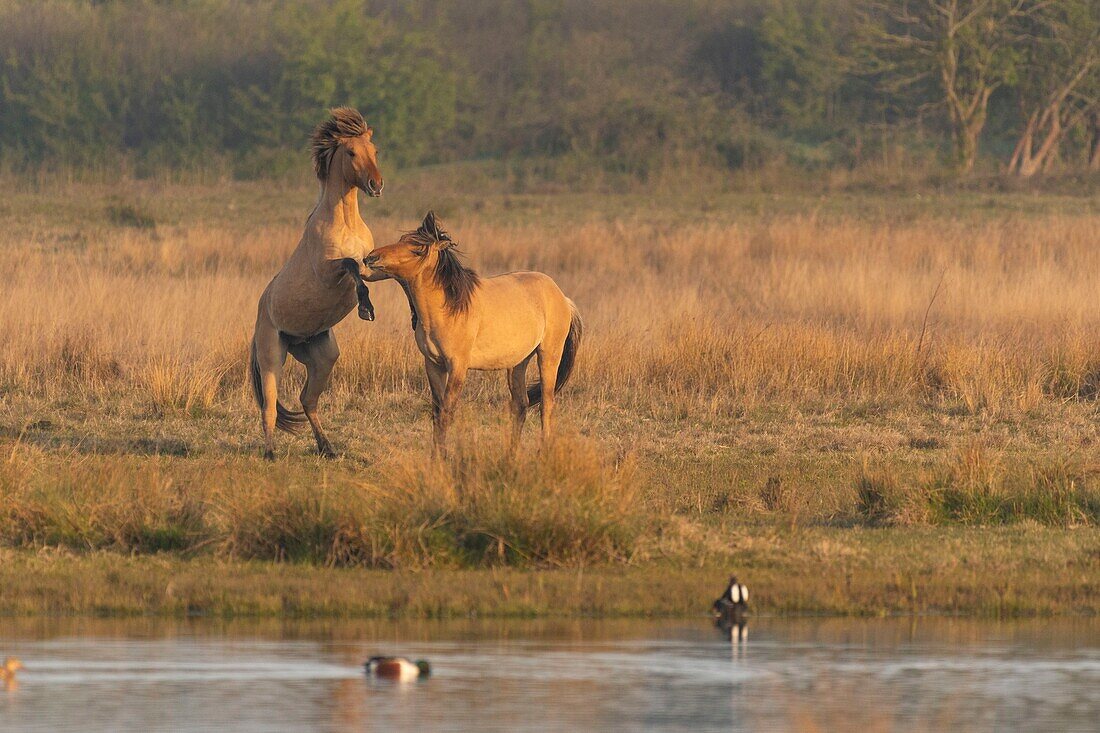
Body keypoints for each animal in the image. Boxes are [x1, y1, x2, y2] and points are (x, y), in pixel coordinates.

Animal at [249, 107, 382, 457]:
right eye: (351, 152)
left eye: (375, 151)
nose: (376, 185)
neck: (344, 222)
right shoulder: (328, 273)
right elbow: (350, 265)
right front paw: (365, 308)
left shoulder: (369, 264)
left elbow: (364, 267)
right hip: (272, 355)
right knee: (269, 407)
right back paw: (270, 453)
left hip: (322, 356)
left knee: (308, 400)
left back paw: (328, 448)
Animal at [363, 208, 585, 453]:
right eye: (401, 239)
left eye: (418, 249)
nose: (371, 257)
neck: (448, 309)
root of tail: (562, 297)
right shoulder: (433, 365)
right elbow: (436, 413)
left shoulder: (458, 367)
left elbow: (446, 413)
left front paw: (441, 457)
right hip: (518, 362)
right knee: (521, 405)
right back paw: (511, 453)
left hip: (548, 356)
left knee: (546, 405)